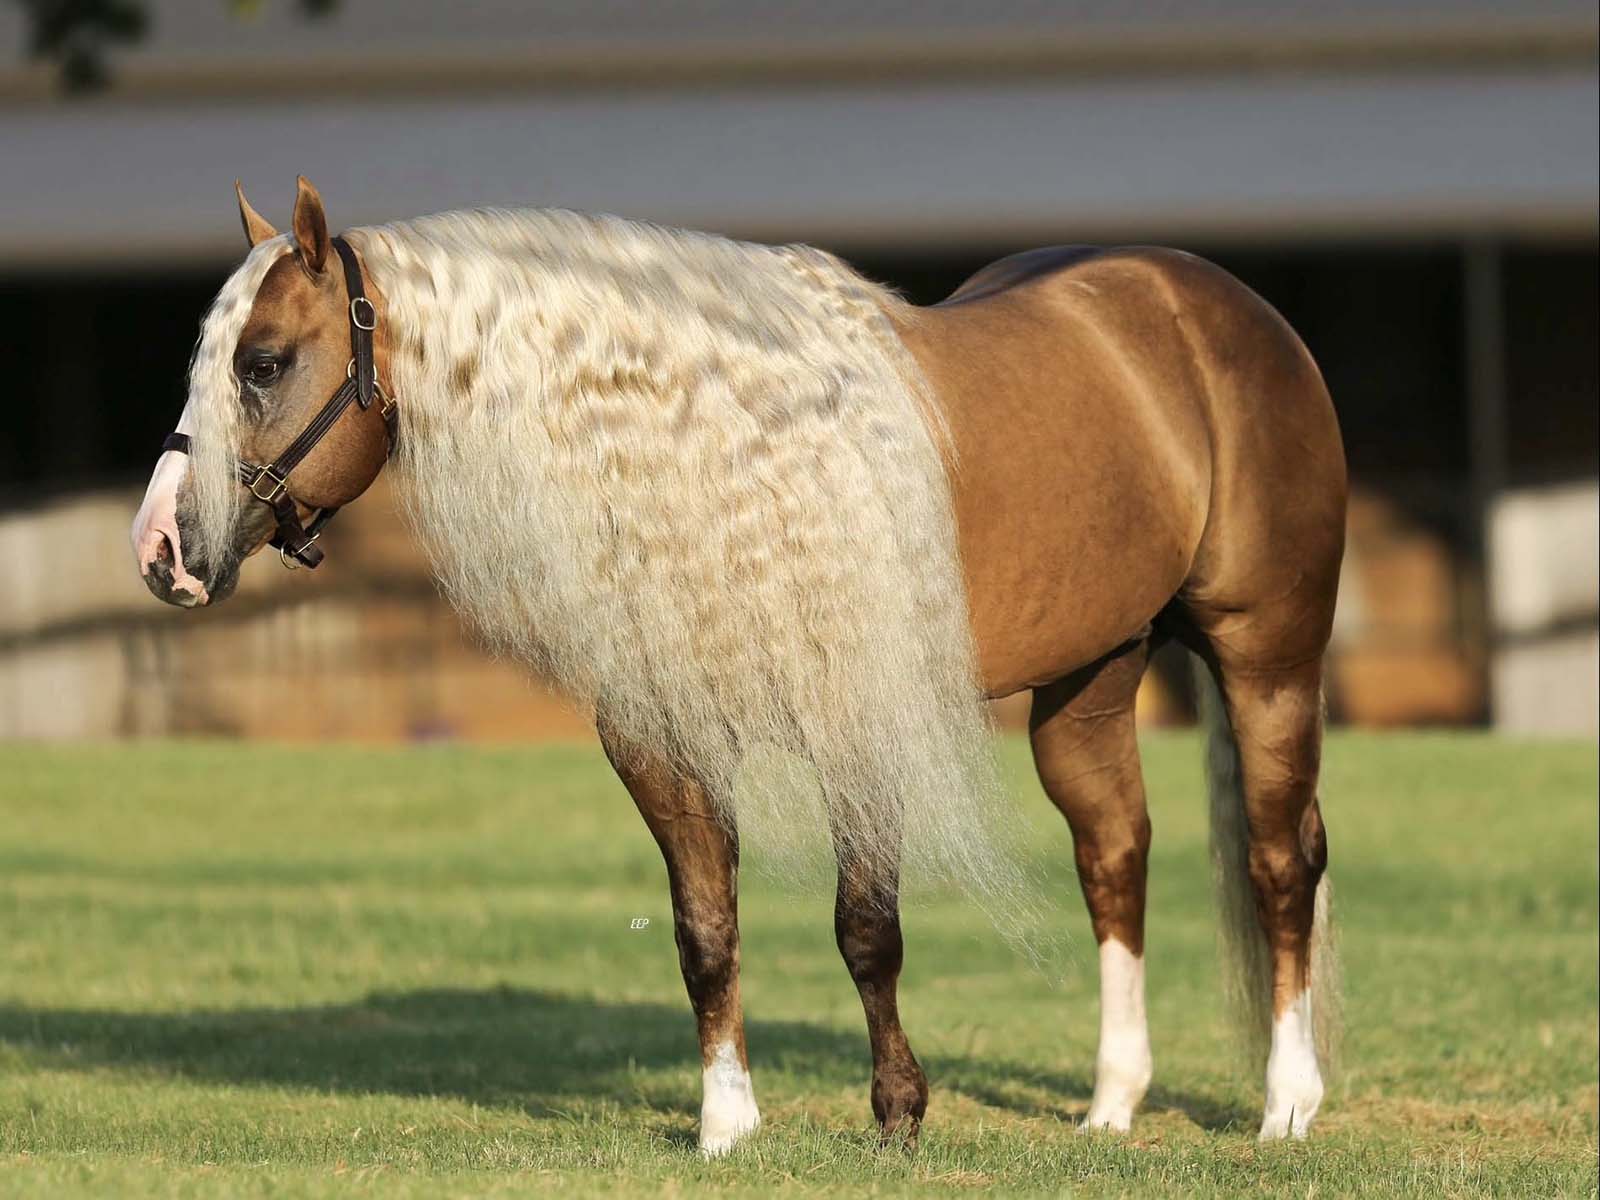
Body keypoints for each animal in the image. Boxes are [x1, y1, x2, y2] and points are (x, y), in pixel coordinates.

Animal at [131, 177, 1346, 1154]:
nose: (161, 553)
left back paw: (1286, 1103)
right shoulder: (661, 743)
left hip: (1267, 656)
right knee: (1114, 855)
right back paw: (1111, 1106)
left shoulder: (859, 724)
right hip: (1090, 679)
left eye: (264, 363)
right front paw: (726, 1125)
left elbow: (867, 931)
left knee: (1280, 859)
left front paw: (898, 1116)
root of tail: (1210, 303)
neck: (731, 461)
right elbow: (705, 934)